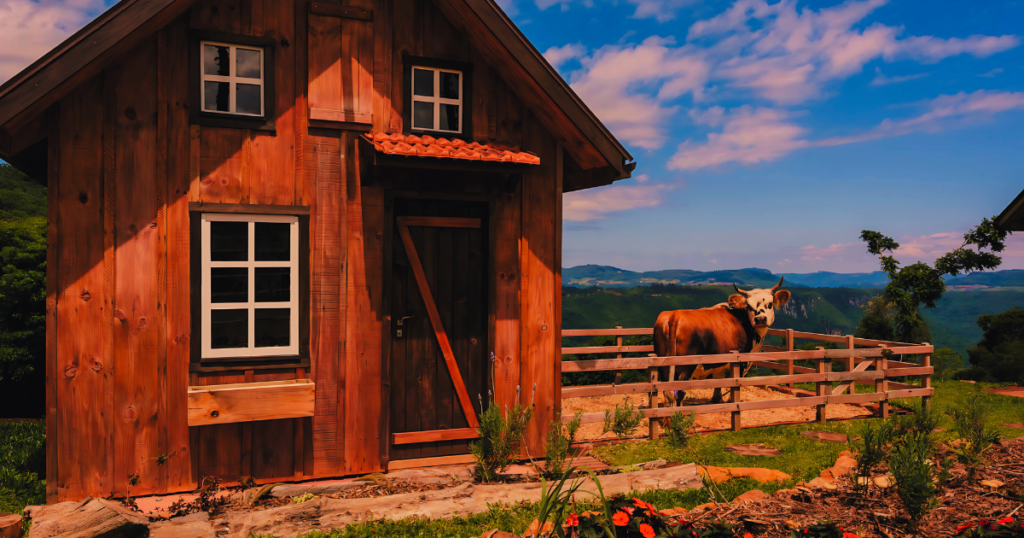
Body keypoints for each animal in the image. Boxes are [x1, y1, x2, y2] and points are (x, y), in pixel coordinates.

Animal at [655, 276, 790, 401]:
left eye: (770, 304)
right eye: (749, 305)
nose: (760, 318)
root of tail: (675, 315)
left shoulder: (719, 363)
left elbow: (718, 383)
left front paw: (717, 399)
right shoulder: (740, 362)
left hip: (664, 366)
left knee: (667, 392)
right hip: (685, 367)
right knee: (678, 393)